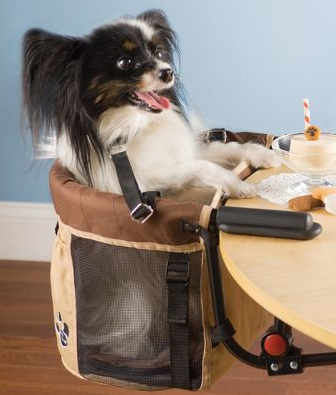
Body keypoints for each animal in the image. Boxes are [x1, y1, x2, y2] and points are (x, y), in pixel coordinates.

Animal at [22, 9, 280, 201]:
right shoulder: (150, 181)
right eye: (125, 62)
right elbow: (202, 166)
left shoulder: (183, 150)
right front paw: (237, 184)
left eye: (158, 53)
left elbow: (226, 148)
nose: (168, 72)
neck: (138, 124)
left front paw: (265, 155)